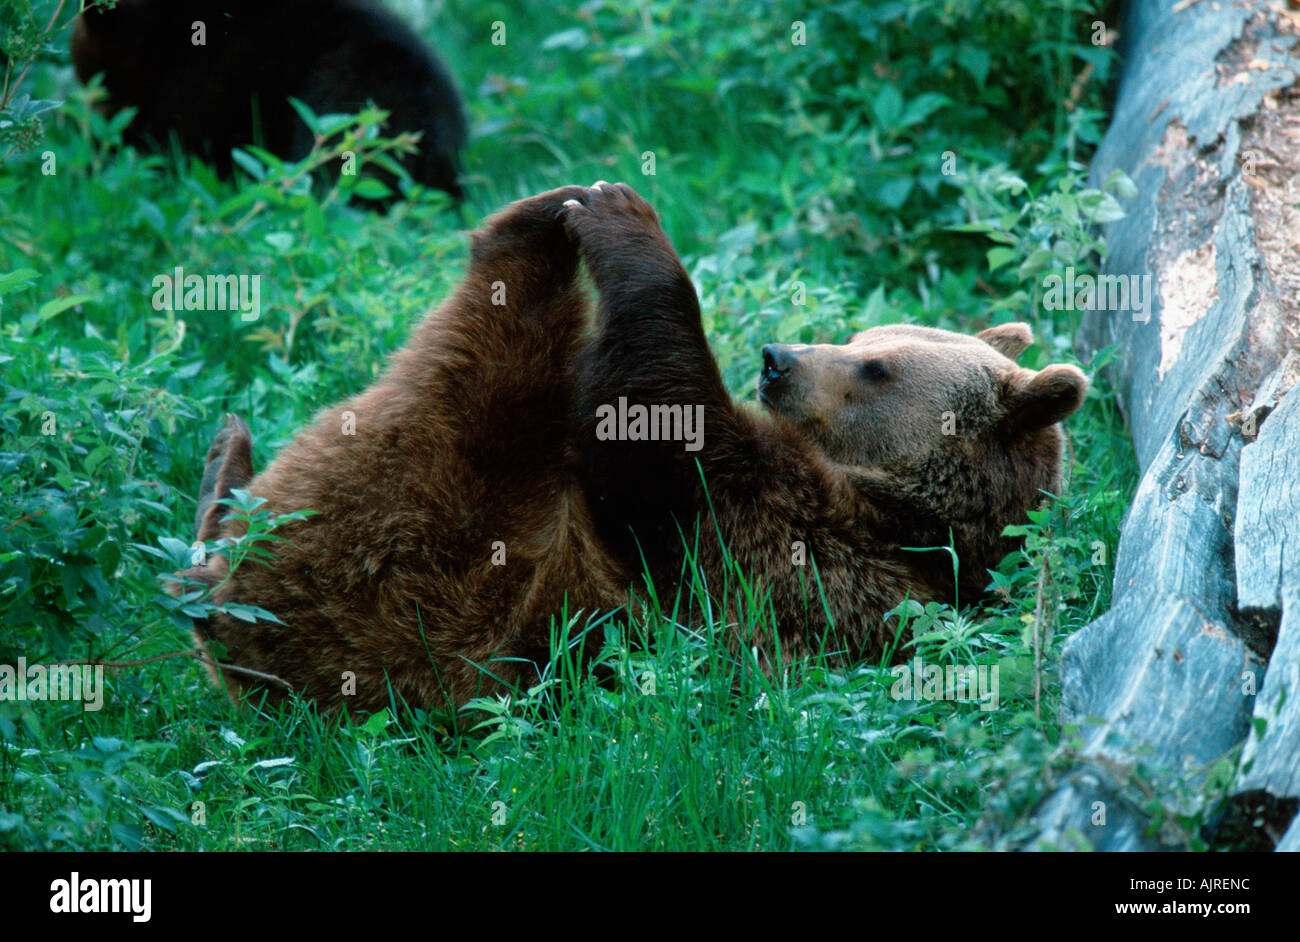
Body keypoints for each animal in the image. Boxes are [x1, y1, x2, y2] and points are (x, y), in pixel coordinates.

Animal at [173, 183, 1088, 715]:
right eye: (864, 337)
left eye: (876, 367)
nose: (778, 359)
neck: (902, 513)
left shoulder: (795, 551)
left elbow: (663, 423)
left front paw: (628, 228)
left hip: (417, 568)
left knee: (478, 372)